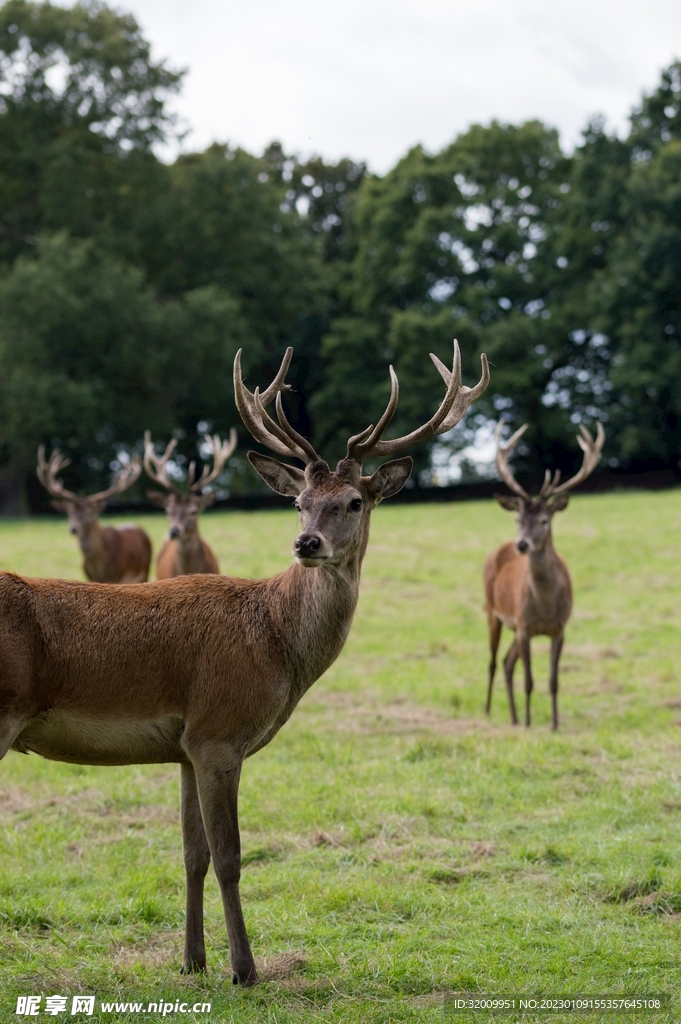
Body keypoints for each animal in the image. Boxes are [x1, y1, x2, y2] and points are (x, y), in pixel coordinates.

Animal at [36, 446, 152, 584]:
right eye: (70, 513)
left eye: (89, 513)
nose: (73, 529)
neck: (99, 568)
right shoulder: (89, 577)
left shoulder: (117, 577)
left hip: (145, 570)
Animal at [484, 420, 605, 730]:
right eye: (518, 519)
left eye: (544, 520)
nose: (522, 544)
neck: (546, 605)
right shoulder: (525, 626)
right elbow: (529, 681)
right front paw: (529, 724)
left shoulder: (559, 628)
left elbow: (553, 681)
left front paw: (554, 724)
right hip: (492, 611)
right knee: (493, 662)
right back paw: (490, 711)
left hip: (513, 627)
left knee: (507, 662)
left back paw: (513, 718)